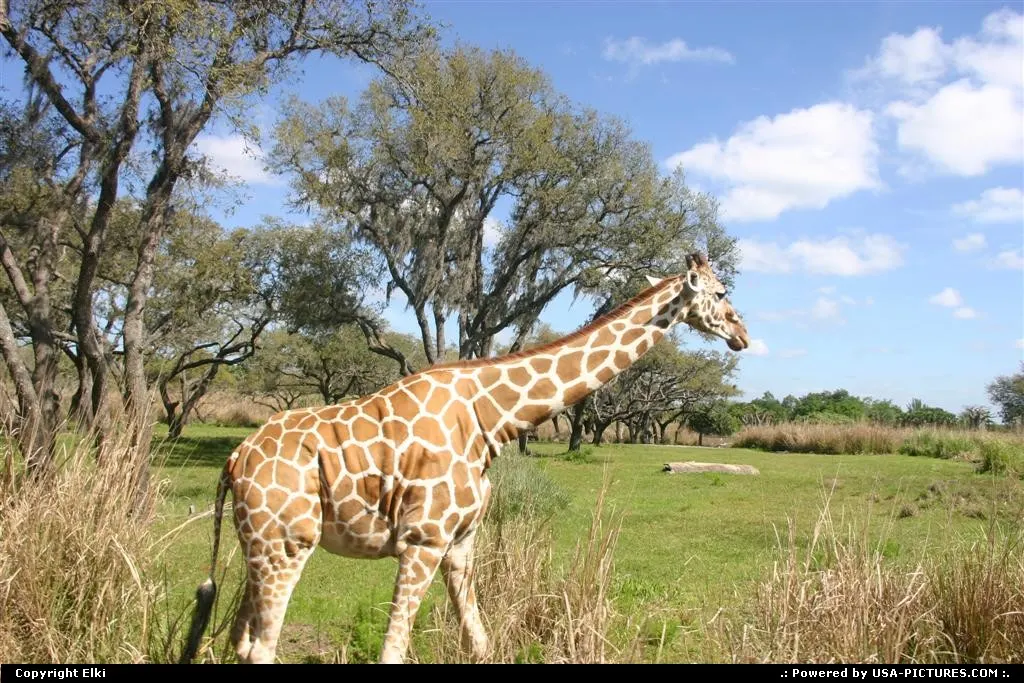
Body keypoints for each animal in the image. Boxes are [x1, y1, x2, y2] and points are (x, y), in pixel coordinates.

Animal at [179, 251, 749, 665]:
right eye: (722, 293)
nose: (742, 334)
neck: (490, 419)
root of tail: (233, 461)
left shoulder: (460, 543)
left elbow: (481, 643)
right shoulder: (422, 540)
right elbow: (392, 652)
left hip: (258, 547)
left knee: (238, 640)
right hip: (287, 544)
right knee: (261, 647)